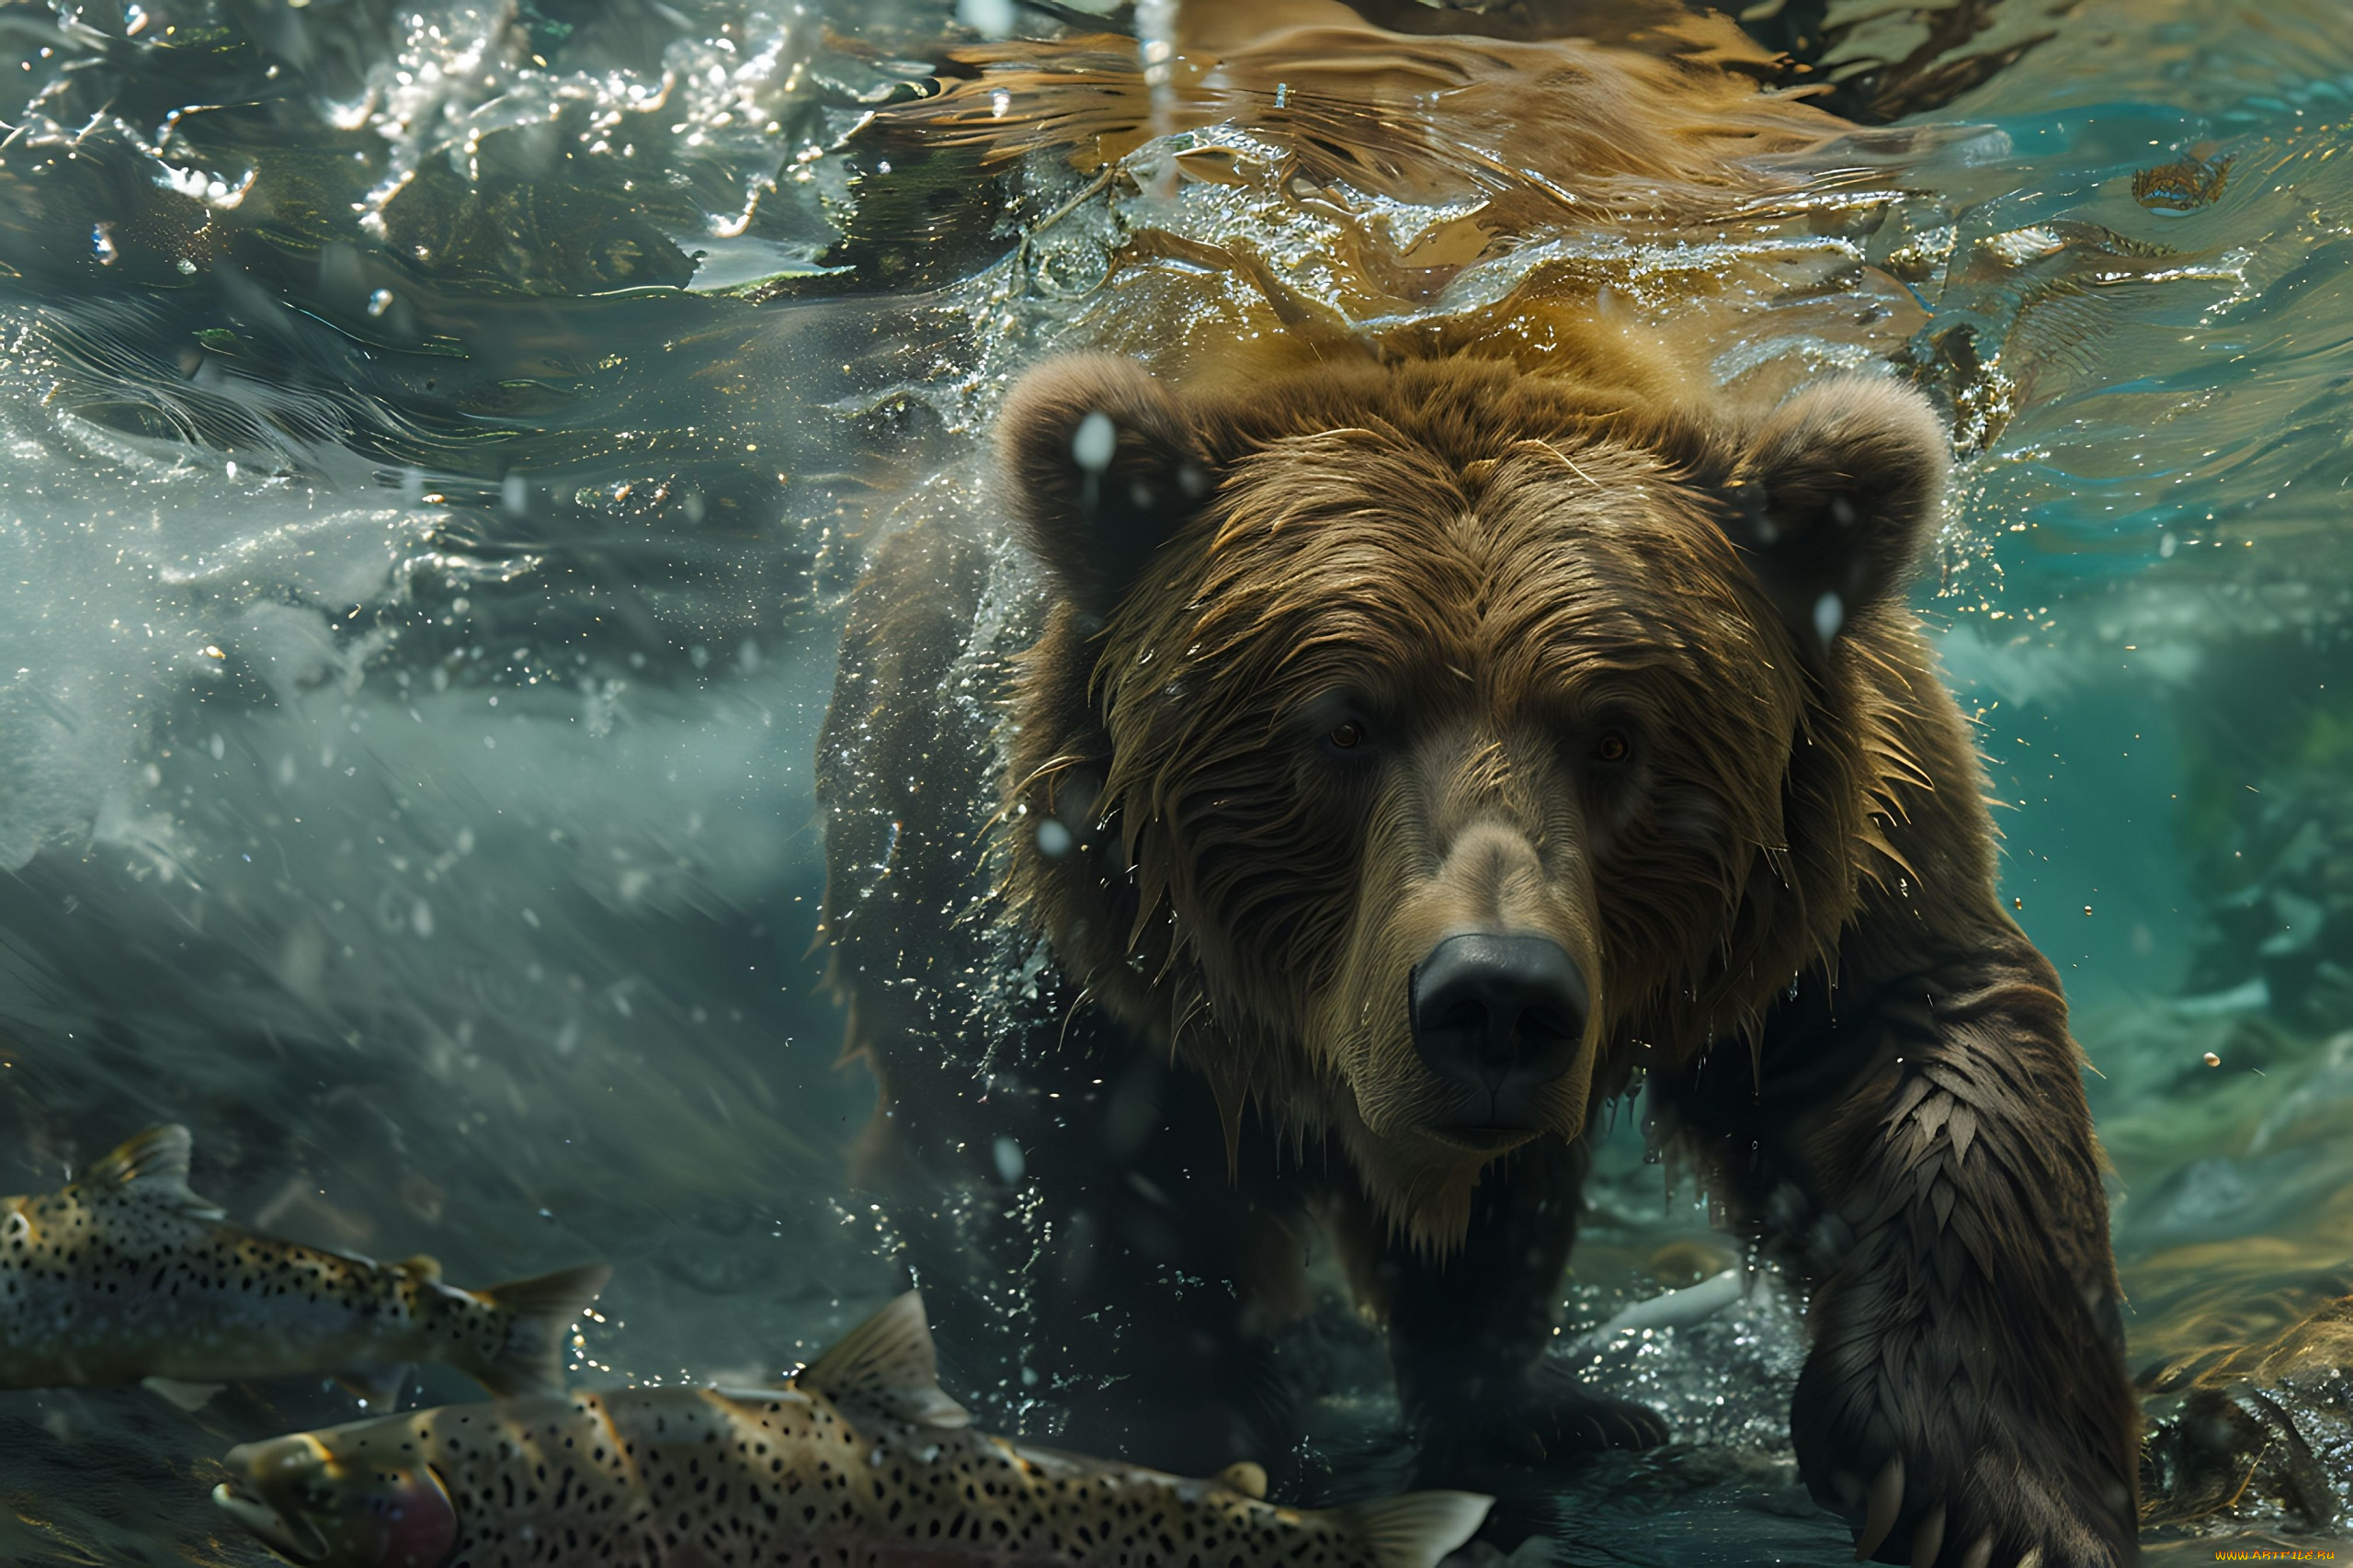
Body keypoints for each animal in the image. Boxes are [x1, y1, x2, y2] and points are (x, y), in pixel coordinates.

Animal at [814, 339, 2141, 1568]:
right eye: (1344, 723)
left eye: (1616, 736)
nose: (1495, 994)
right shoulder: (1033, 905)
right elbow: (1070, 1163)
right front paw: (1169, 1432)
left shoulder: (1843, 846)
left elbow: (1913, 1042)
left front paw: (1987, 1497)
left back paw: (1537, 1408)